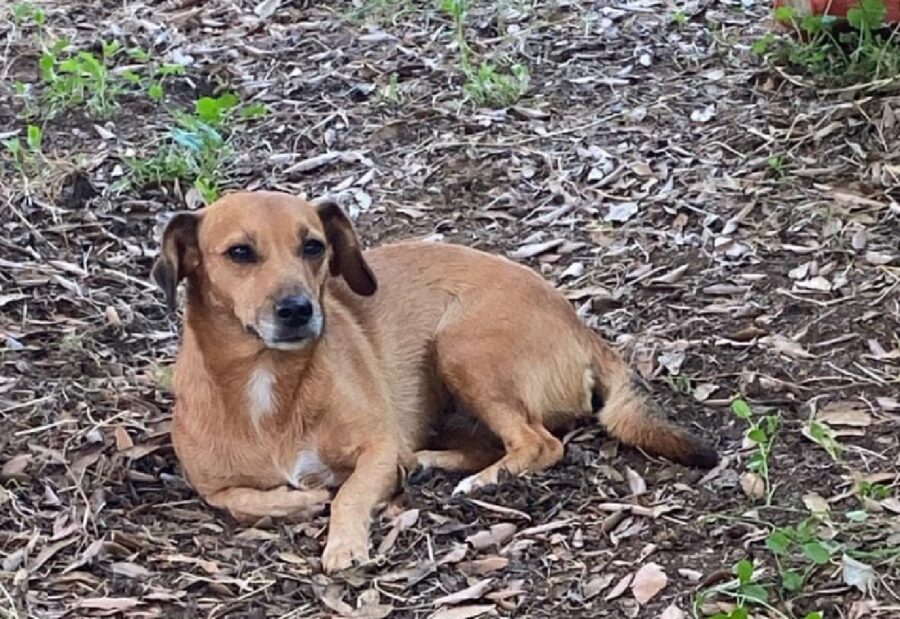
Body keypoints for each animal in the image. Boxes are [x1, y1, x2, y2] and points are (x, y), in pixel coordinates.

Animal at [153, 191, 716, 572]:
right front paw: (297, 502)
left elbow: (349, 494)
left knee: (538, 442)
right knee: (492, 442)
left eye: (313, 247)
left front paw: (343, 542)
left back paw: (482, 481)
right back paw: (432, 465)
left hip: (462, 348)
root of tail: (580, 325)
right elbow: (237, 498)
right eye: (240, 253)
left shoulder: (379, 449)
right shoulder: (210, 485)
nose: (298, 309)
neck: (266, 381)